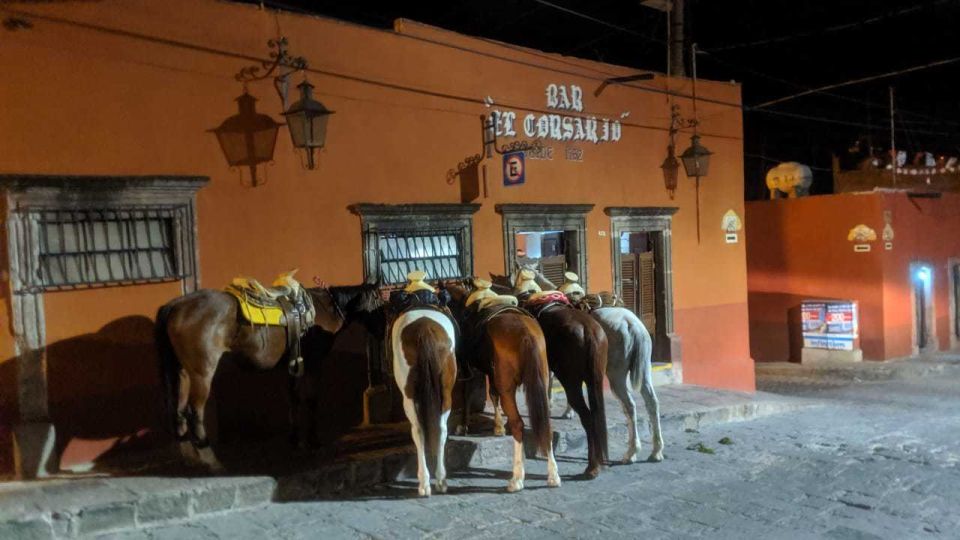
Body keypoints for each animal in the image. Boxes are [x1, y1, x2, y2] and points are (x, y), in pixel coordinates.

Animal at [386, 270, 458, 498]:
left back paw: (424, 482)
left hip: (408, 395)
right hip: (446, 391)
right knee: (441, 428)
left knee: (418, 430)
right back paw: (440, 479)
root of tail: (424, 330)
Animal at [442, 280, 564, 492]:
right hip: (539, 381)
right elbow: (492, 394)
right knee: (545, 424)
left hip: (508, 386)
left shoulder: (469, 370)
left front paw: (463, 426)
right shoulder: (492, 373)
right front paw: (498, 427)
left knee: (518, 425)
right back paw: (553, 475)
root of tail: (526, 333)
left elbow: (467, 396)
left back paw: (517, 478)